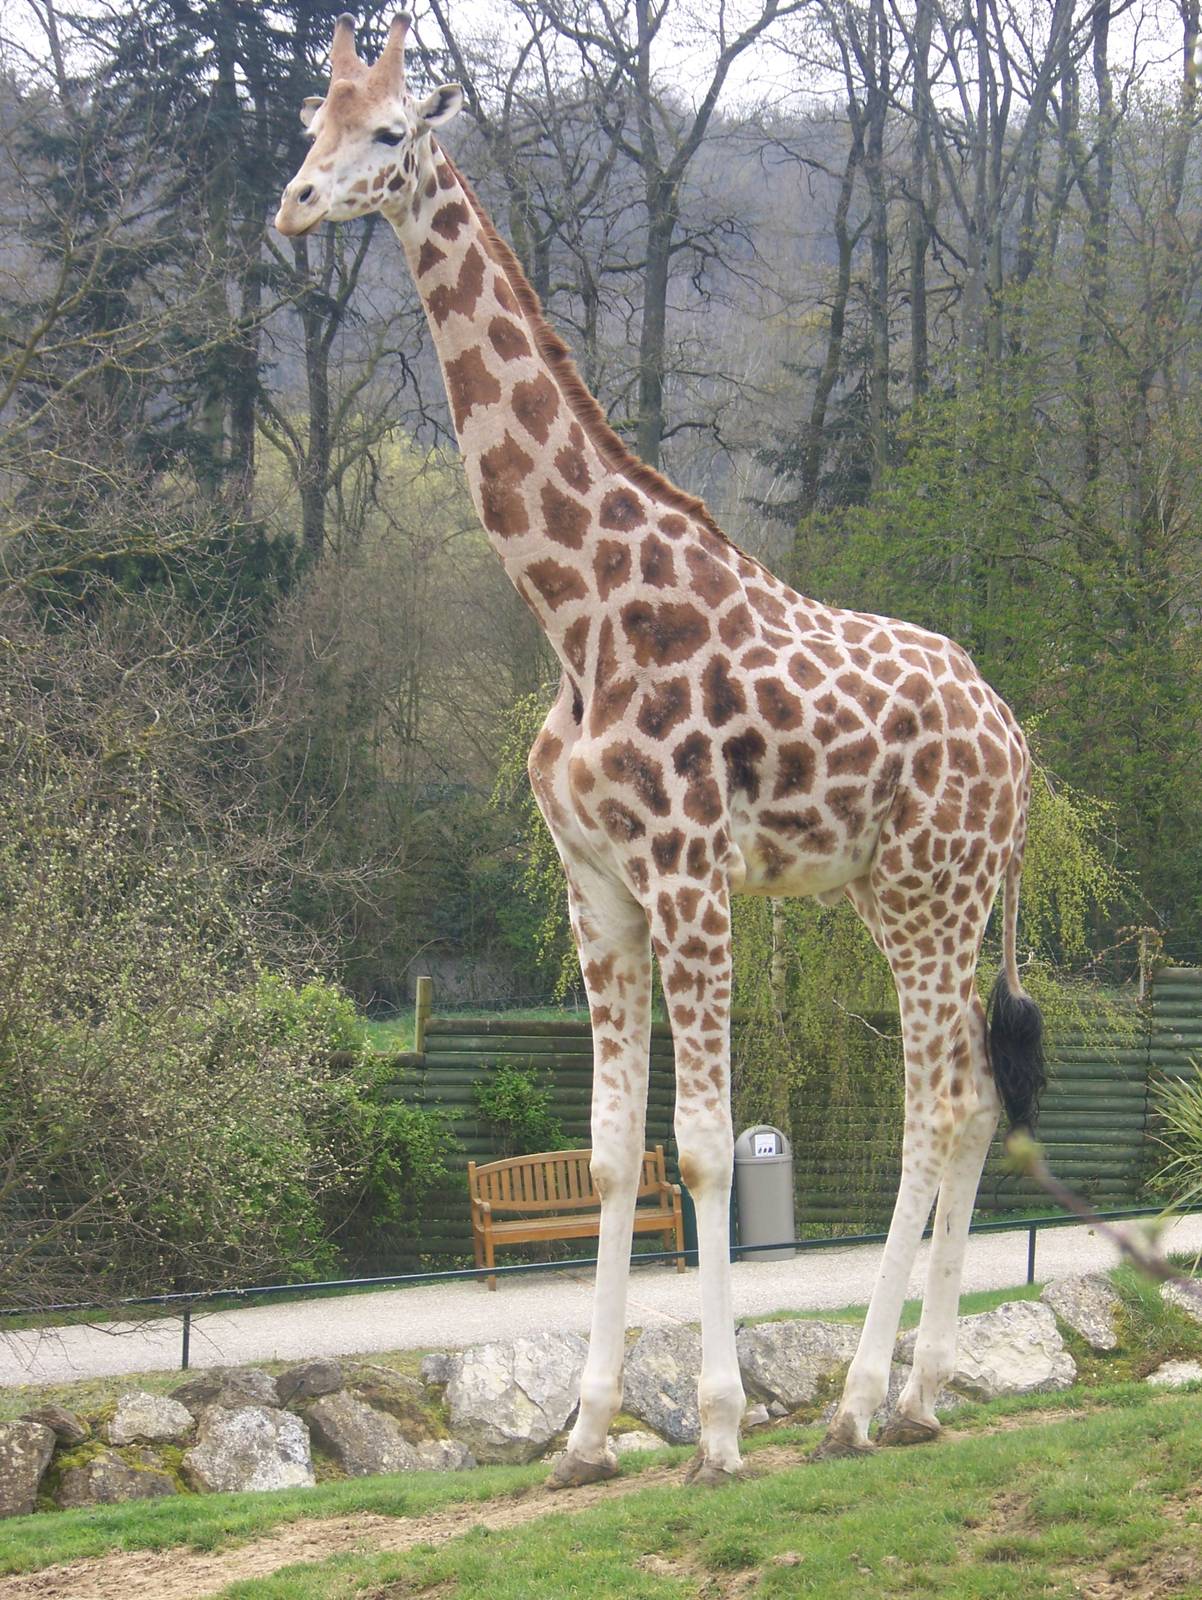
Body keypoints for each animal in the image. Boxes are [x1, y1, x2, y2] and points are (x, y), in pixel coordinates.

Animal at [275, 13, 1046, 1485]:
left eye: (389, 130)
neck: (575, 613)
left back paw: (856, 1405)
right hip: (901, 894)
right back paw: (920, 1396)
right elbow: (604, 1157)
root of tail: (1017, 740)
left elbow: (698, 1156)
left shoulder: (690, 873)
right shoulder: (595, 885)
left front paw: (722, 1430)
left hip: (933, 894)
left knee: (931, 1107)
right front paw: (582, 1435)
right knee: (974, 1099)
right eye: (308, 122)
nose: (291, 205)